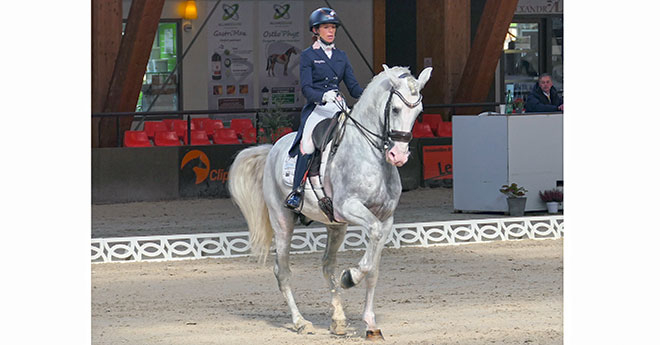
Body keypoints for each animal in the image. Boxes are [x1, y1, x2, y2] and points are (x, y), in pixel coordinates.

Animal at [228, 64, 434, 338]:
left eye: (419, 113)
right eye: (395, 109)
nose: (397, 156)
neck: (371, 155)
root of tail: (273, 147)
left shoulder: (386, 218)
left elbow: (374, 268)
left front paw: (370, 323)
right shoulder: (350, 207)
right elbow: (370, 246)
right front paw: (351, 277)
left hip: (335, 225)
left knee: (327, 266)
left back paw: (338, 321)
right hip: (283, 221)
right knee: (282, 271)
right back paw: (301, 322)